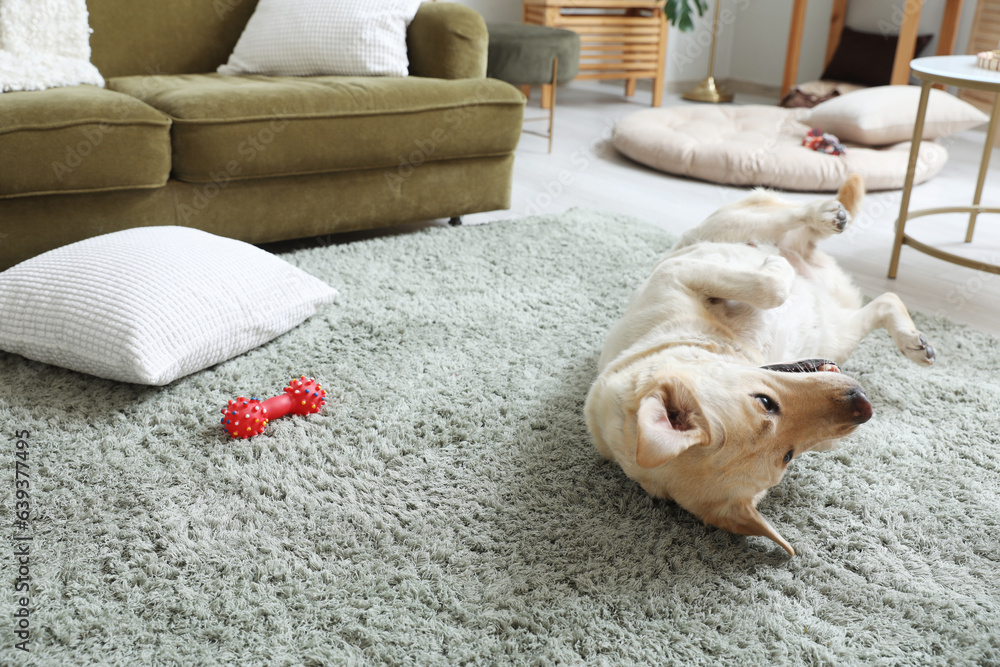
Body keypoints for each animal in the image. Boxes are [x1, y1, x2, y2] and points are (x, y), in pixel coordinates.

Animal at [584, 175, 936, 556]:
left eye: (764, 401)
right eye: (787, 457)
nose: (863, 404)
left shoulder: (676, 274)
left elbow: (769, 288)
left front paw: (776, 265)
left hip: (728, 230)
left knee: (791, 218)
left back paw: (823, 218)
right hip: (836, 334)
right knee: (884, 301)